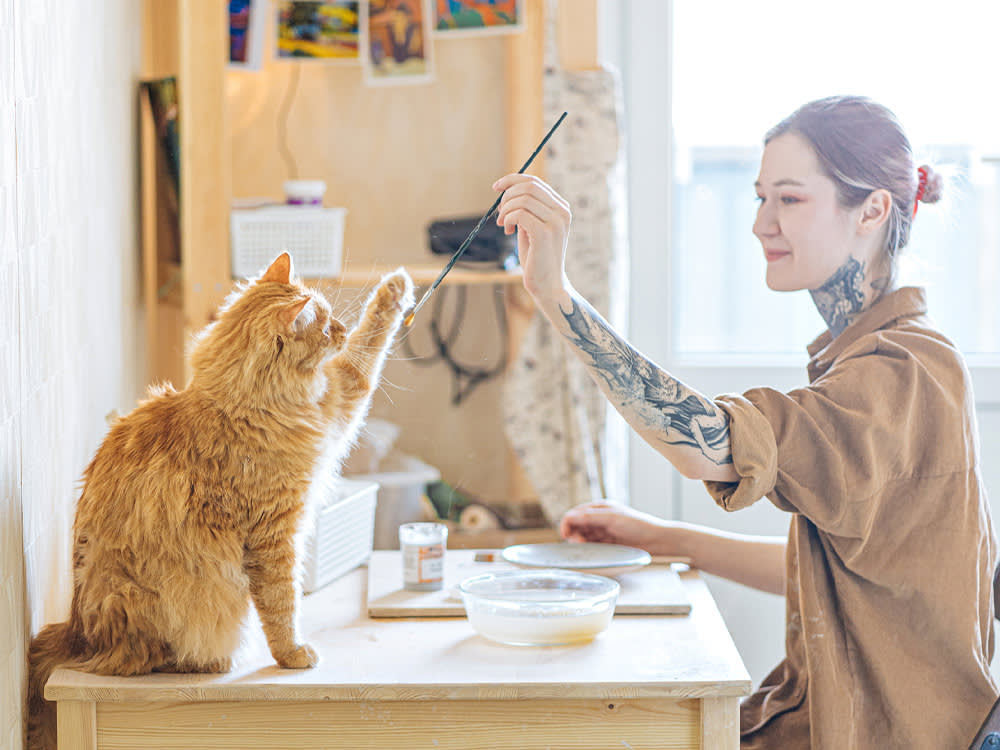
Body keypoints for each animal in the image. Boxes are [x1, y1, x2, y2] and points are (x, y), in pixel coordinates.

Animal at [27, 254, 412, 750]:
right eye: (325, 325)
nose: (341, 328)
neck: (241, 406)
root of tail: (78, 633)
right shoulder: (274, 536)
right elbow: (283, 605)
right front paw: (292, 655)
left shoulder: (339, 401)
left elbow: (369, 344)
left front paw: (395, 288)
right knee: (152, 658)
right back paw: (211, 662)